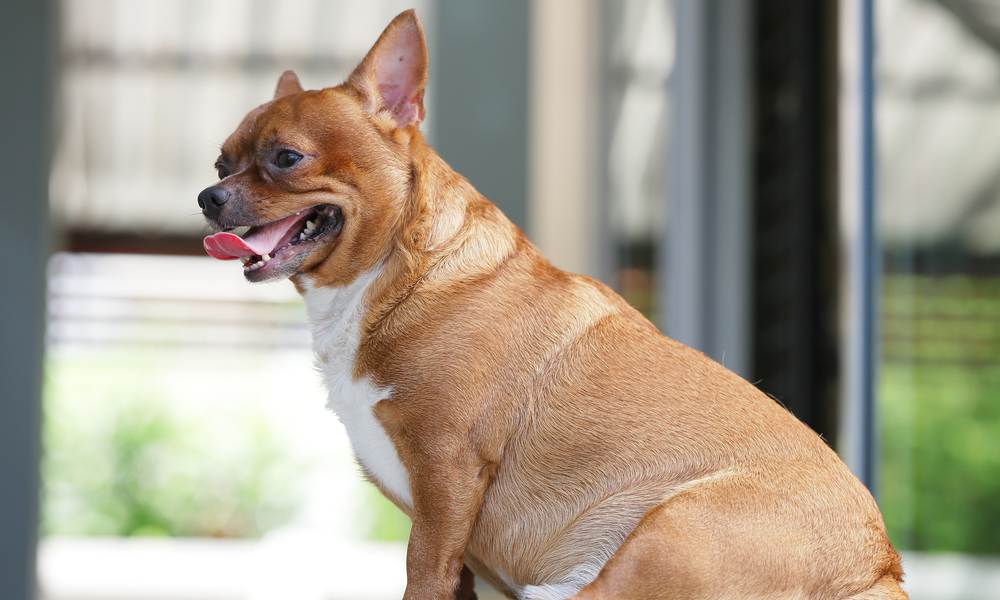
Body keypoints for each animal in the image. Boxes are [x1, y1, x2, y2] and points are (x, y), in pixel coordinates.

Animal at [199, 9, 912, 600]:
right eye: (220, 163)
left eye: (286, 158)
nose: (209, 197)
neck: (399, 273)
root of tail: (878, 570)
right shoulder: (449, 528)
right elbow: (447, 579)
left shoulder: (446, 476)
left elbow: (421, 576)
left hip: (666, 532)